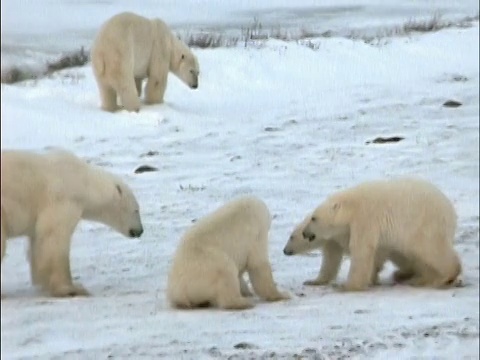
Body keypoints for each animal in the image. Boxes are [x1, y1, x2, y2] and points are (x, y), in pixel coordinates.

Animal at [0, 149, 143, 298]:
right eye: (136, 210)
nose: (140, 230)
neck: (83, 181)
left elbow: (38, 241)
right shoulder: (63, 199)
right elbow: (54, 239)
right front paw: (72, 289)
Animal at [284, 178, 464, 292]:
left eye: (314, 218)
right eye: (293, 235)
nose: (285, 251)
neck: (350, 207)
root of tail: (450, 211)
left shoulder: (365, 218)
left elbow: (361, 250)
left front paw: (347, 286)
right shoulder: (338, 236)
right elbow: (332, 259)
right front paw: (314, 281)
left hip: (423, 224)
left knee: (429, 249)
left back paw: (442, 277)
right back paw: (414, 277)